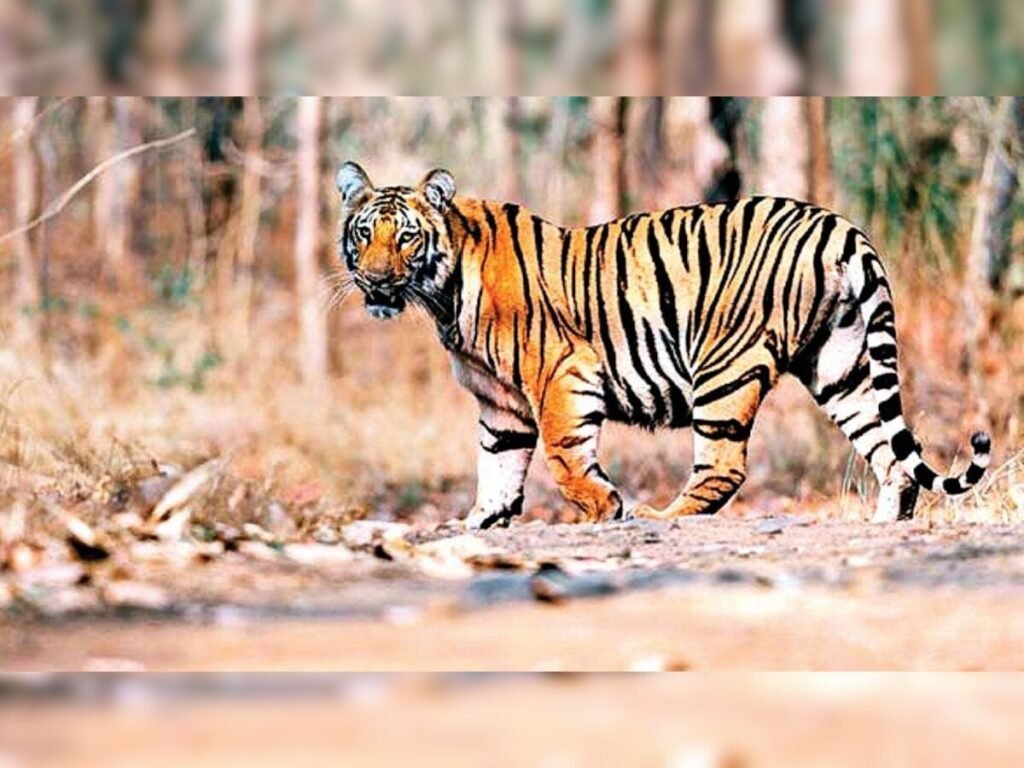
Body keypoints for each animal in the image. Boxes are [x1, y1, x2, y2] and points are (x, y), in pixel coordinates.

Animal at [335, 161, 991, 529]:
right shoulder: (500, 402)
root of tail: (840, 227)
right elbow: (496, 465)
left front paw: (604, 508)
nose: (376, 280)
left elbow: (563, 456)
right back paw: (885, 524)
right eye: (364, 233)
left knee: (725, 466)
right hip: (843, 365)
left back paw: (662, 515)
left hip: (723, 368)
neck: (442, 296)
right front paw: (478, 523)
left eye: (406, 237)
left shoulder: (562, 374)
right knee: (891, 454)